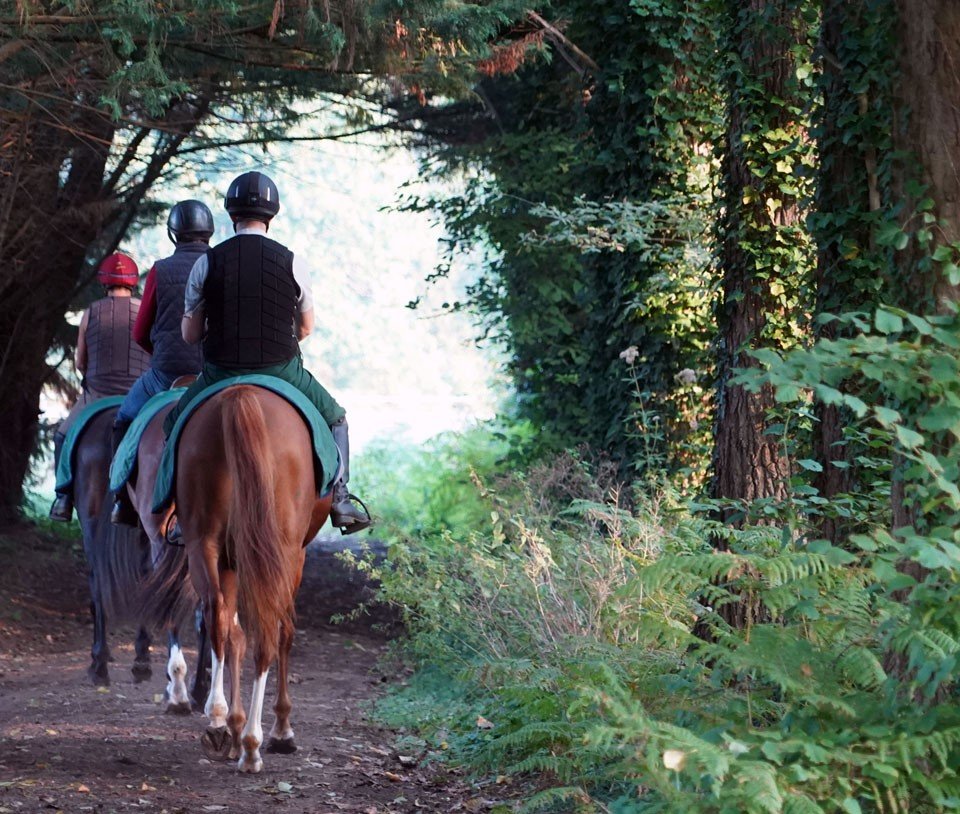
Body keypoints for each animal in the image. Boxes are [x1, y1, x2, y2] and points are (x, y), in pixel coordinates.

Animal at [174, 385, 331, 773]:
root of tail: (240, 394)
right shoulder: (296, 555)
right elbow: (284, 634)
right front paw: (280, 729)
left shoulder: (231, 560)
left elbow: (234, 635)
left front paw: (232, 722)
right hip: (283, 550)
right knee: (269, 634)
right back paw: (254, 744)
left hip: (204, 543)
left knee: (218, 616)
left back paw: (218, 721)